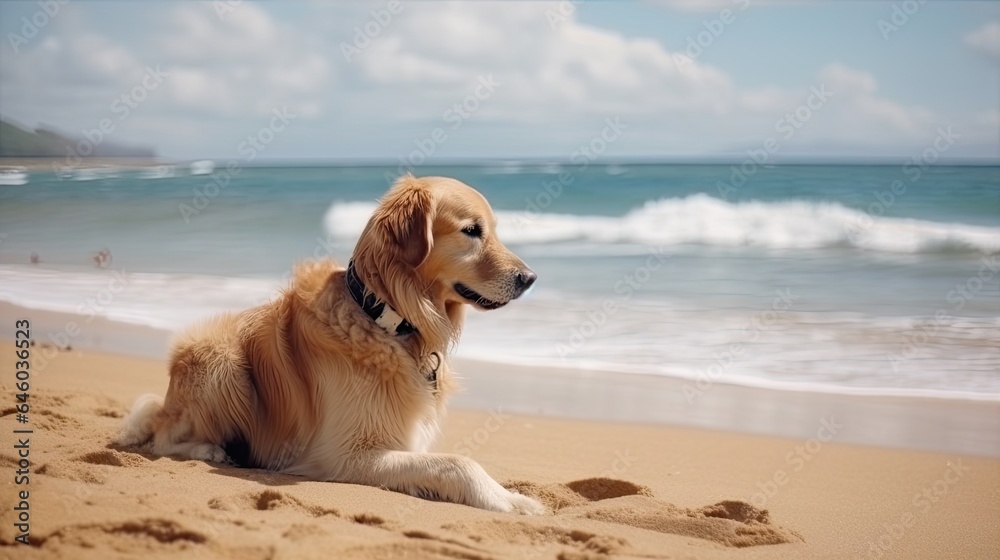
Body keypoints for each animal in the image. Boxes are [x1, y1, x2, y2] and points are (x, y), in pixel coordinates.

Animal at [118, 174, 548, 512]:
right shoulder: (345, 455)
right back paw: (211, 450)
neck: (384, 318)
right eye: (471, 231)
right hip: (220, 358)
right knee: (162, 436)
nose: (530, 278)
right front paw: (512, 500)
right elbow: (458, 463)